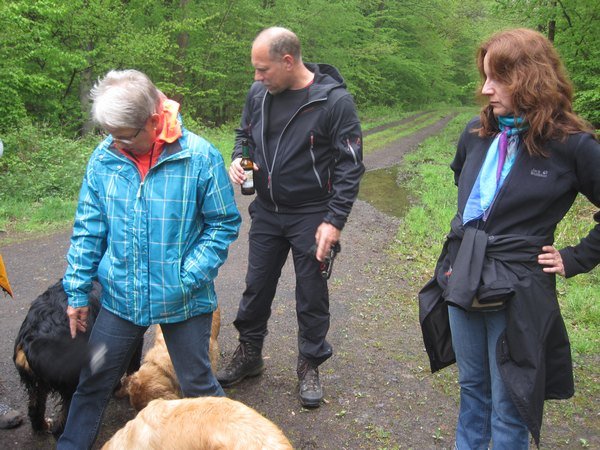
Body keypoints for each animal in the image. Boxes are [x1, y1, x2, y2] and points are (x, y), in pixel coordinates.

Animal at [14, 280, 142, 438]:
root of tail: (32, 340)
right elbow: (132, 367)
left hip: (37, 384)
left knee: (35, 410)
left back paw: (42, 426)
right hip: (71, 383)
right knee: (63, 424)